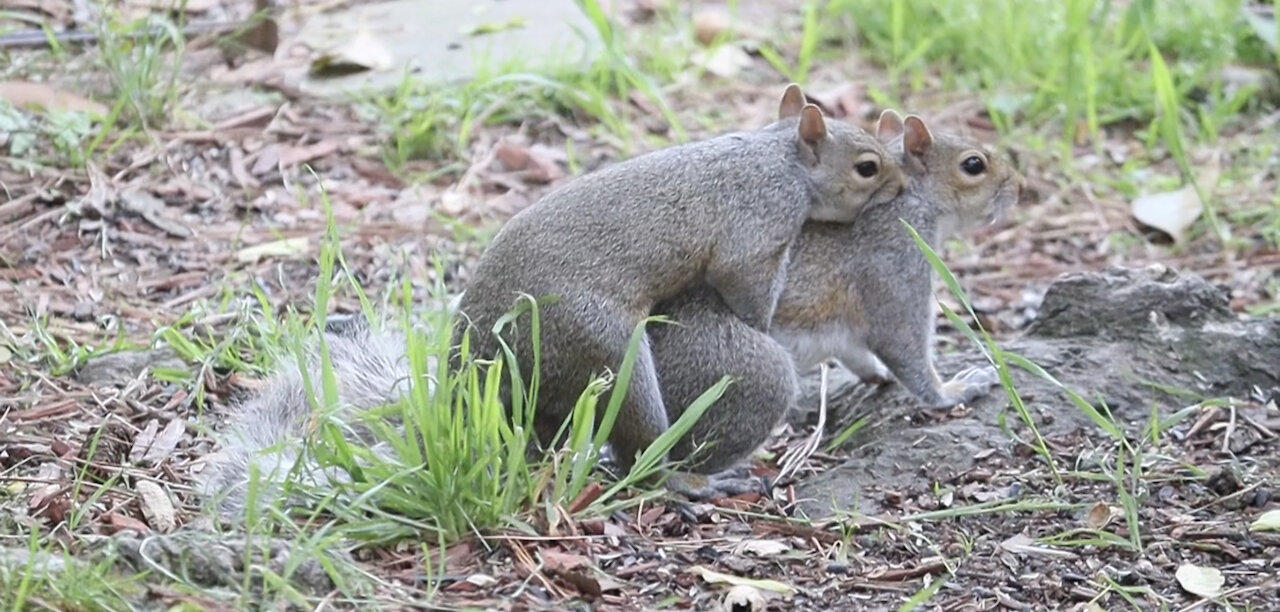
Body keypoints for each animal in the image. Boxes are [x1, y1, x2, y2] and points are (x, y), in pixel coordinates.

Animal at [655, 111, 1024, 483]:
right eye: (973, 164)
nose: (1020, 187)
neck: (906, 204)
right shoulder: (893, 269)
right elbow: (904, 348)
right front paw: (953, 391)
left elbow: (856, 353)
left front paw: (878, 373)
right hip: (745, 372)